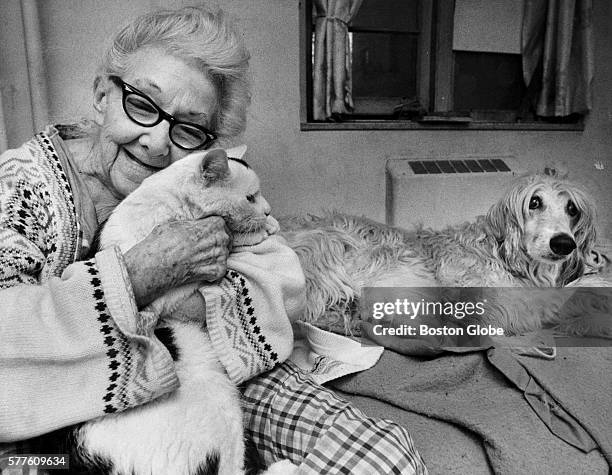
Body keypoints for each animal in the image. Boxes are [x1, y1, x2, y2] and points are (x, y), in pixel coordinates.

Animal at [280, 176, 608, 338]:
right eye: (535, 202)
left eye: (572, 209)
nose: (563, 244)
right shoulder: (495, 310)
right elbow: (565, 298)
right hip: (331, 246)